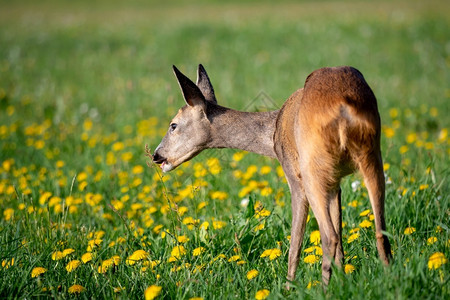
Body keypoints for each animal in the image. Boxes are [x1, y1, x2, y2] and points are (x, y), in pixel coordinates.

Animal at [151, 63, 390, 286]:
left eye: (173, 125)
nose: (156, 155)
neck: (272, 133)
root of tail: (343, 106)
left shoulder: (294, 175)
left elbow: (296, 243)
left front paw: (289, 287)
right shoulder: (335, 182)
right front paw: (342, 280)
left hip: (312, 169)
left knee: (329, 236)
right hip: (372, 153)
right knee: (380, 230)